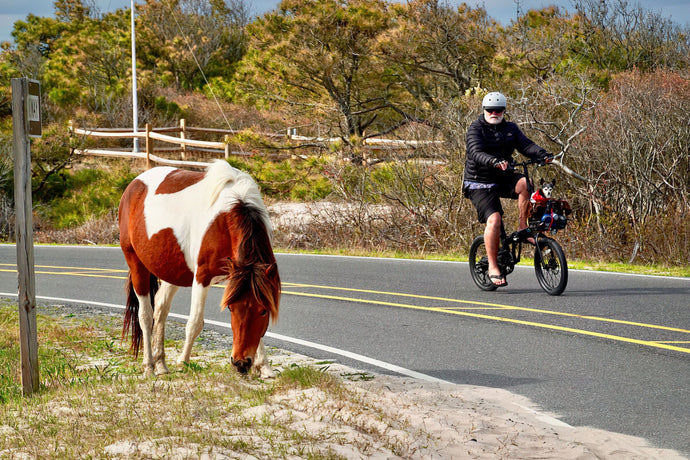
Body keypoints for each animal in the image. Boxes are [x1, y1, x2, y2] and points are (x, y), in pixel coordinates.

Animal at [118, 159, 280, 378]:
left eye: (263, 311)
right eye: (230, 308)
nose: (240, 362)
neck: (228, 214)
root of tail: (133, 185)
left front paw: (264, 366)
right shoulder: (202, 276)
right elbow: (195, 322)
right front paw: (183, 362)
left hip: (172, 271)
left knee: (160, 309)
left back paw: (161, 364)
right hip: (136, 264)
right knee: (145, 316)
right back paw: (149, 366)